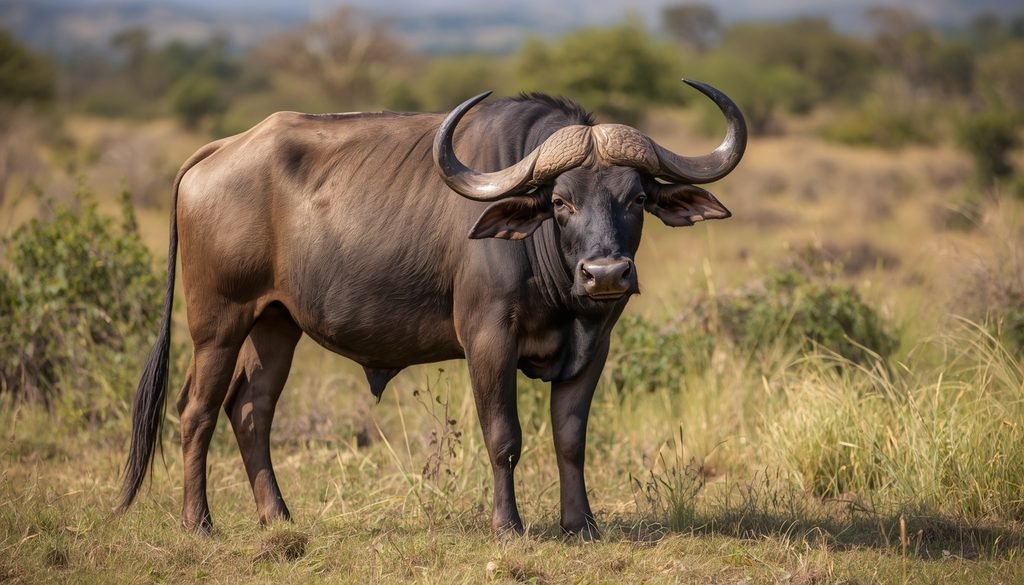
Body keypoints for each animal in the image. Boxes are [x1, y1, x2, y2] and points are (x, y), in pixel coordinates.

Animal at [118, 80, 746, 538]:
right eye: (561, 201)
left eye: (636, 198)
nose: (607, 274)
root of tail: (219, 151)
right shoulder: (489, 339)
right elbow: (504, 436)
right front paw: (508, 526)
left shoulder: (594, 345)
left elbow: (571, 438)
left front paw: (581, 524)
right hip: (218, 326)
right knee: (196, 410)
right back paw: (199, 524)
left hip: (275, 325)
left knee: (251, 410)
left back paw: (278, 517)